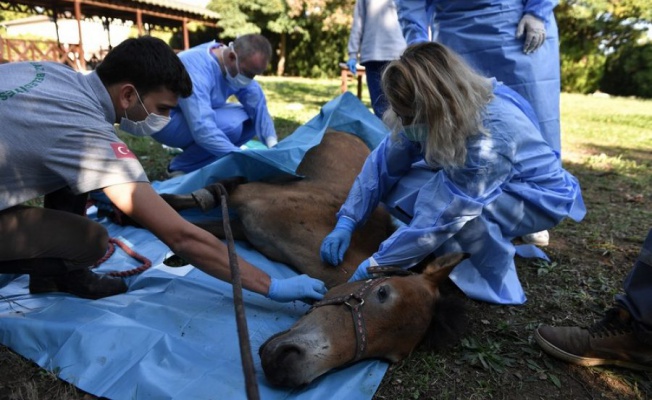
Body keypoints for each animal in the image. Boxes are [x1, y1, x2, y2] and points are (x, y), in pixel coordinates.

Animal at [163, 131, 468, 388]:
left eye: (384, 358)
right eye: (383, 292)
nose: (286, 364)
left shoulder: (241, 229)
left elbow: (194, 232)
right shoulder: (246, 195)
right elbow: (184, 206)